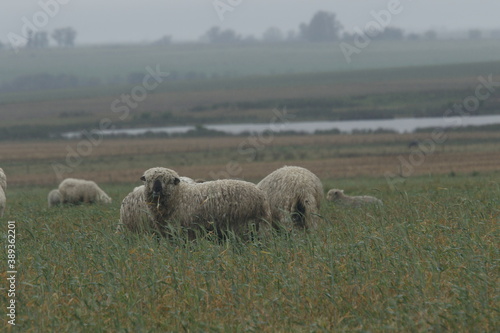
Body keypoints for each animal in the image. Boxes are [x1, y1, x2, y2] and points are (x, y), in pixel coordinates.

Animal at [139, 166, 272, 239]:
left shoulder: (188, 232)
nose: (157, 190)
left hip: (245, 226)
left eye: (168, 181)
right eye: (148, 180)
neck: (179, 196)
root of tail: (261, 195)